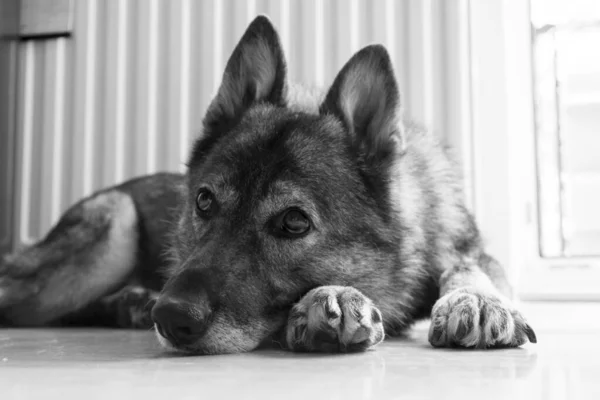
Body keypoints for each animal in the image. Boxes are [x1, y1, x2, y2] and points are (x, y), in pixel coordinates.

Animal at [0, 15, 536, 354]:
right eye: (204, 201)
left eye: (294, 222)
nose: (169, 317)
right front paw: (327, 299)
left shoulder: (473, 251)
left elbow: (468, 269)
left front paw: (477, 299)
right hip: (113, 227)